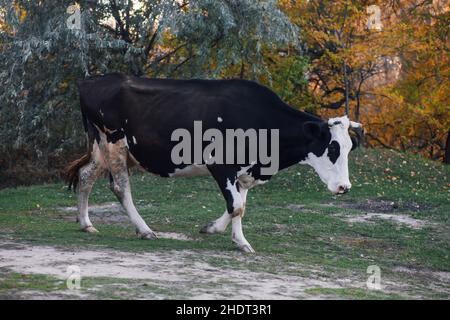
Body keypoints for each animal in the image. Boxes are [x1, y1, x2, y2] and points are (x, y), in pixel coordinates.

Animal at [65, 74, 362, 252]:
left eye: (350, 148)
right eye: (332, 147)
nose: (344, 187)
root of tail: (90, 81)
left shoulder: (245, 172)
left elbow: (240, 206)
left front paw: (227, 235)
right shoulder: (221, 165)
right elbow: (236, 206)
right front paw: (227, 235)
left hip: (102, 146)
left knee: (86, 175)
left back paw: (86, 223)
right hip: (114, 143)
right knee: (120, 188)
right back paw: (144, 230)